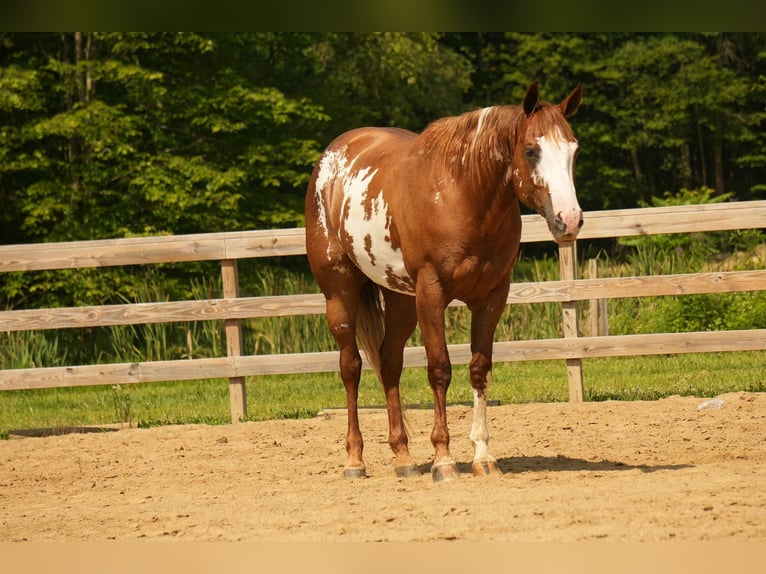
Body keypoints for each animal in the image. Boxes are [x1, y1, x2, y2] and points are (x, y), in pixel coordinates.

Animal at [305, 82, 583, 481]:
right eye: (532, 151)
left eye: (573, 150)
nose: (569, 220)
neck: (462, 194)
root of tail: (331, 160)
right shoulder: (432, 292)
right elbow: (439, 368)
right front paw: (444, 459)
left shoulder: (492, 297)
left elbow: (479, 369)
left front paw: (483, 455)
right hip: (340, 294)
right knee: (351, 367)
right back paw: (355, 460)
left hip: (401, 299)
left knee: (389, 363)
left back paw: (404, 457)